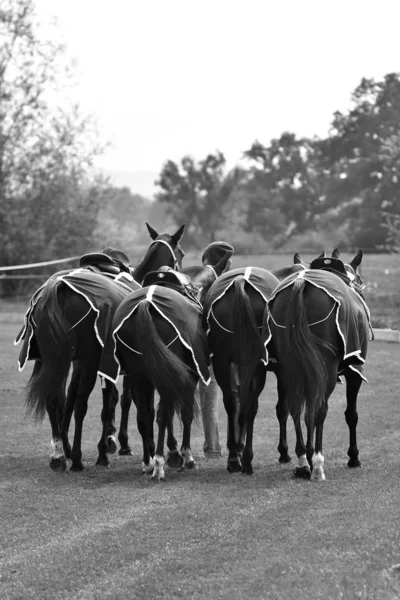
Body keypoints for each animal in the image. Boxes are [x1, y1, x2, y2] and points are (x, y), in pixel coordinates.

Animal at [16, 223, 186, 472]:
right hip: (87, 361)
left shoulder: (92, 365)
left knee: (55, 400)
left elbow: (102, 401)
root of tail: (57, 287)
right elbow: (127, 402)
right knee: (80, 405)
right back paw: (76, 458)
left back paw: (60, 454)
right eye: (181, 253)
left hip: (53, 360)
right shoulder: (118, 365)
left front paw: (106, 445)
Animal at [101, 272, 212, 482]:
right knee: (162, 415)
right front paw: (185, 456)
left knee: (145, 416)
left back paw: (148, 462)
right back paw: (159, 465)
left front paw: (165, 455)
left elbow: (149, 414)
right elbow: (184, 414)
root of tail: (146, 303)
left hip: (139, 375)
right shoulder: (188, 377)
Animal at [262, 251, 372, 480]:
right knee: (319, 410)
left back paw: (303, 460)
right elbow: (351, 415)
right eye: (359, 279)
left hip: (289, 367)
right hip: (325, 370)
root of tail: (300, 283)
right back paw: (317, 462)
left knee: (295, 408)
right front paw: (353, 457)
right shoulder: (355, 371)